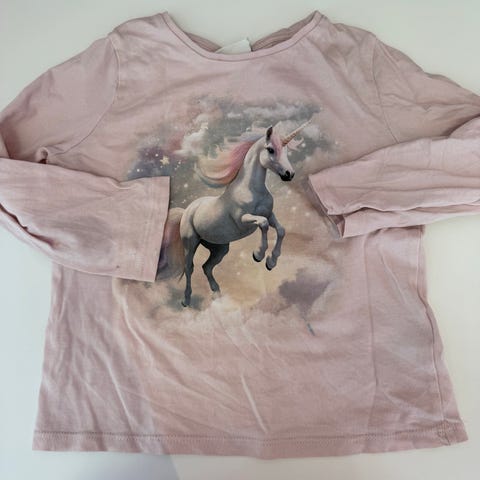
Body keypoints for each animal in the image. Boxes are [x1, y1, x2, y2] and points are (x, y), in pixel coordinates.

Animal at [156, 119, 311, 307]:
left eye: (287, 151)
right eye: (270, 149)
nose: (289, 174)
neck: (252, 190)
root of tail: (187, 210)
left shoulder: (269, 214)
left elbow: (281, 230)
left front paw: (271, 262)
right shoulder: (243, 220)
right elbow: (264, 225)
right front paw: (258, 255)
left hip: (219, 248)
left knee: (206, 267)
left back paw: (217, 294)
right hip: (190, 243)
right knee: (189, 268)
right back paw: (186, 300)